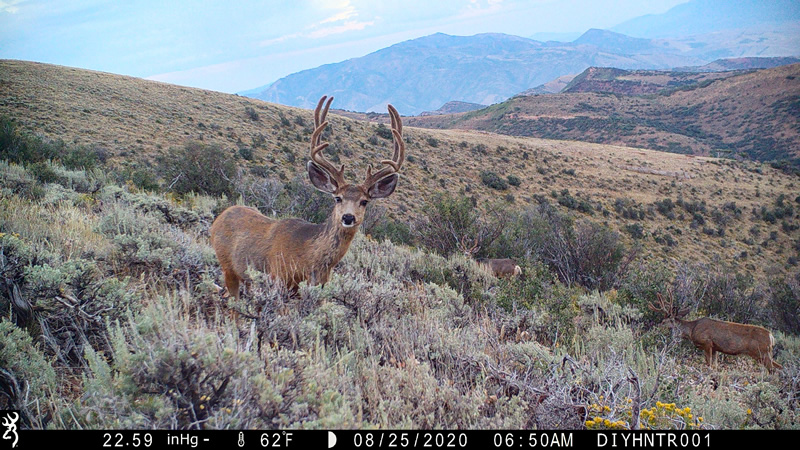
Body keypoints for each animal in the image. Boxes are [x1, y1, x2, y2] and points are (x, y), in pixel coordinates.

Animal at [210, 95, 405, 300]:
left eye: (364, 201)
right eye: (337, 198)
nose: (348, 217)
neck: (308, 257)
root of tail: (220, 217)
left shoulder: (320, 285)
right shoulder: (278, 278)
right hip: (227, 266)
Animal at [649, 292, 782, 372]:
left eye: (663, 321)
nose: (657, 327)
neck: (692, 329)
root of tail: (771, 337)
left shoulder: (707, 343)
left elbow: (709, 365)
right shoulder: (715, 348)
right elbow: (715, 366)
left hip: (761, 352)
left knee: (773, 369)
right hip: (765, 353)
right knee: (779, 367)